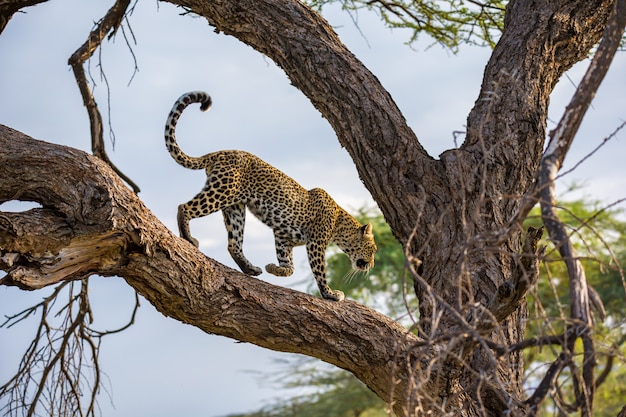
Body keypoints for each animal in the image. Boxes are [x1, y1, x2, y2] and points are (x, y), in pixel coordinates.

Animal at [163, 90, 376, 300]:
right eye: (373, 249)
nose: (372, 265)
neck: (339, 224)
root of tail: (221, 152)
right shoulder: (315, 243)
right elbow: (319, 270)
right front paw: (329, 293)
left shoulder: (283, 236)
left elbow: (289, 267)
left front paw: (274, 268)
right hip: (221, 192)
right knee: (185, 207)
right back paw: (189, 239)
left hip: (235, 208)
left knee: (233, 243)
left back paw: (250, 269)